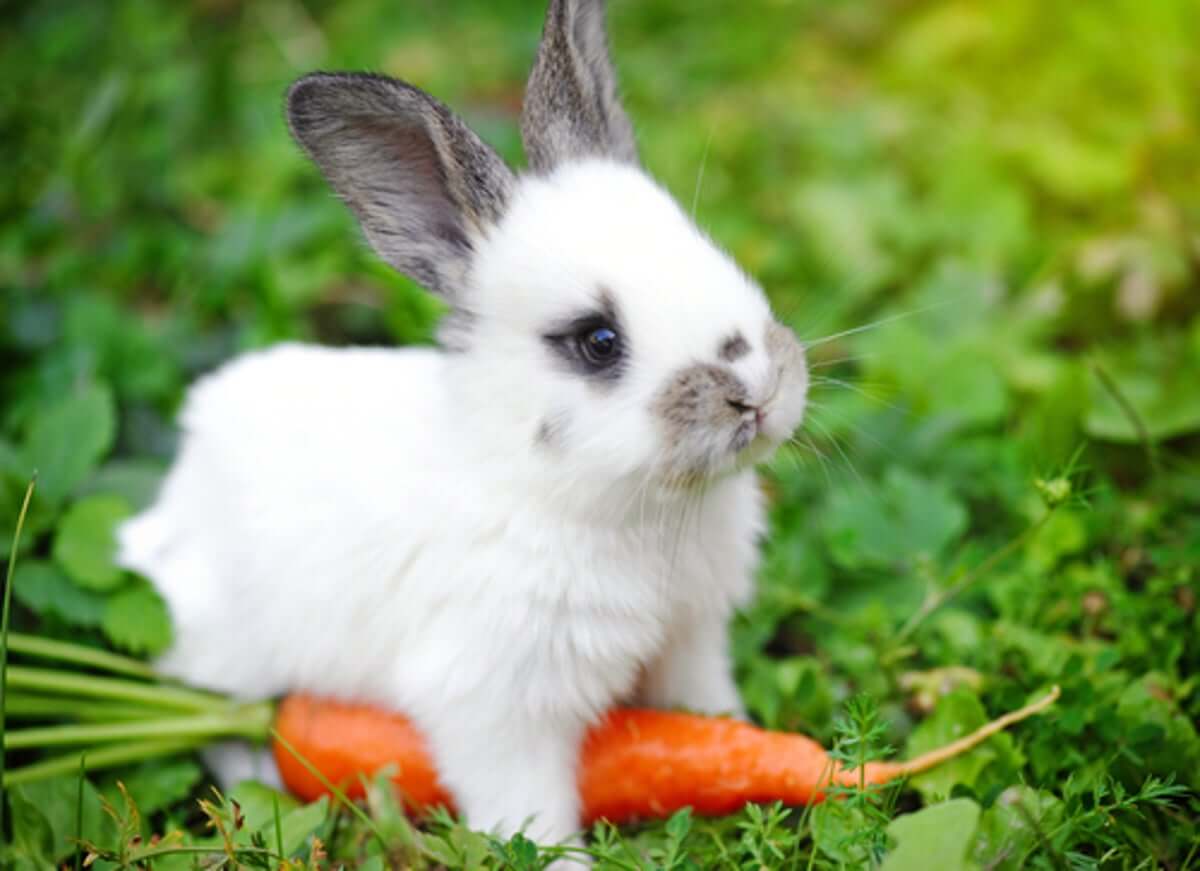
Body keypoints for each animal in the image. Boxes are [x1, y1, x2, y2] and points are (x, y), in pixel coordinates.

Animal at [117, 0, 809, 850]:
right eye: (598, 339)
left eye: (712, 256)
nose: (757, 390)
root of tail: (172, 502)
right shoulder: (495, 705)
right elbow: (530, 809)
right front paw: (564, 863)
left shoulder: (691, 639)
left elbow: (708, 717)